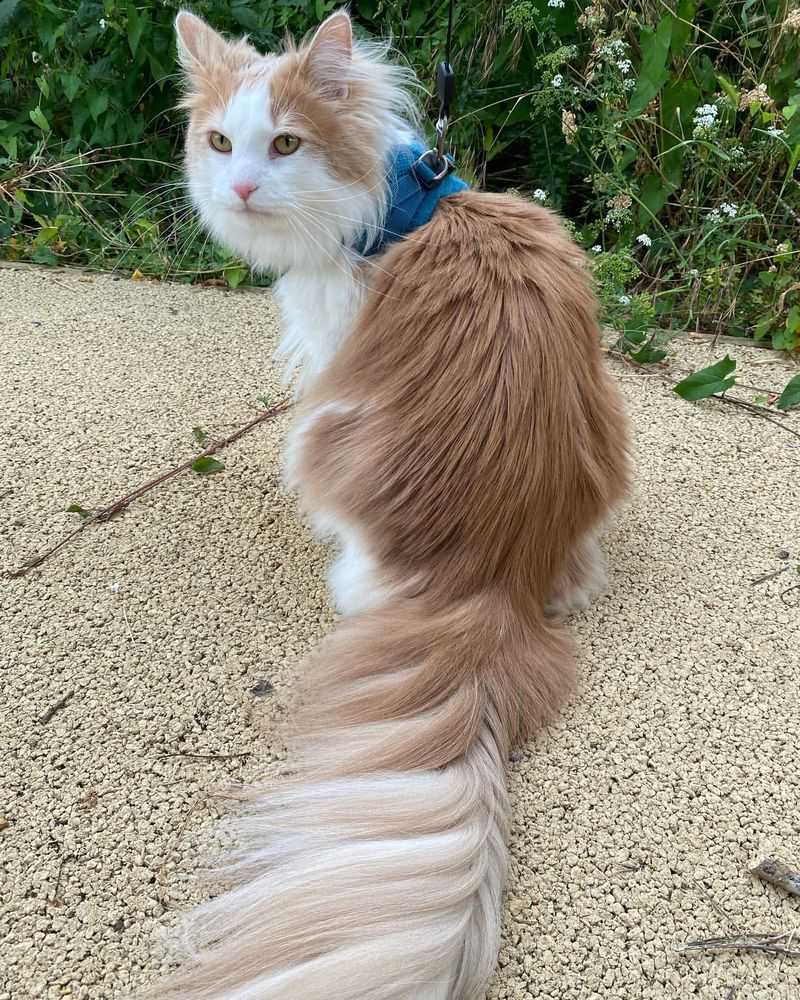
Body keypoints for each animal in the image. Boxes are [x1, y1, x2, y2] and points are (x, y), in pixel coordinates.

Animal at [153, 9, 632, 1000]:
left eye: (285, 144)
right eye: (219, 143)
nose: (242, 186)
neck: (391, 208)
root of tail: (494, 582)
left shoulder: (331, 351)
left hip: (319, 436)